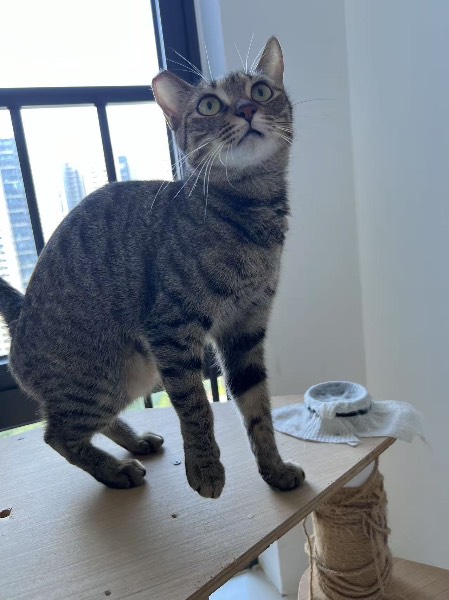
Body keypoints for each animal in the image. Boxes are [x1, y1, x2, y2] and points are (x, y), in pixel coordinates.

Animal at [0, 36, 304, 498]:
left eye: (261, 90)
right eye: (209, 105)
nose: (247, 109)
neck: (251, 217)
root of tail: (19, 319)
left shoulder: (246, 330)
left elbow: (258, 411)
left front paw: (275, 469)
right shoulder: (172, 328)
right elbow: (196, 405)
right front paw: (205, 467)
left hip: (136, 374)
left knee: (82, 424)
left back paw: (135, 441)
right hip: (102, 377)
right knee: (57, 434)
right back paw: (114, 470)